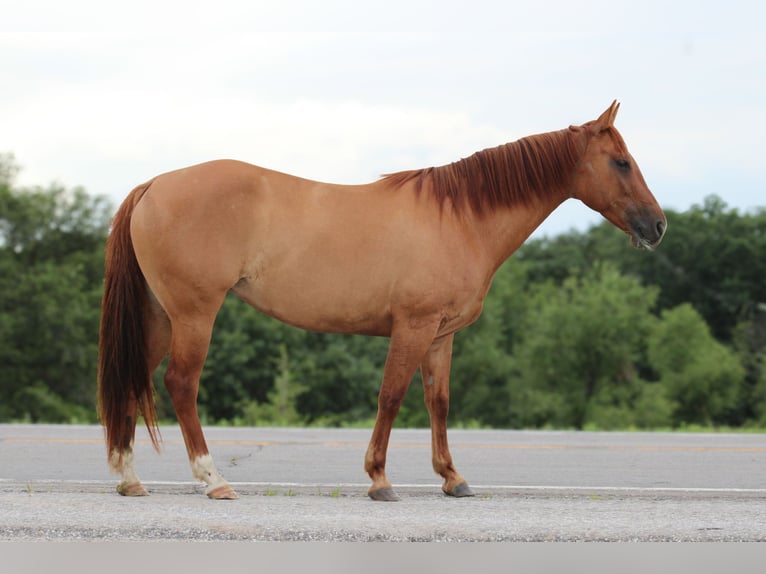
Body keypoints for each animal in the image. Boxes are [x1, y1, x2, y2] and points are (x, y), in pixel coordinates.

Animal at [98, 101, 665, 501]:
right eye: (621, 162)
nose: (658, 225)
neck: (460, 217)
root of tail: (153, 185)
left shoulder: (440, 335)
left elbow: (438, 402)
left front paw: (452, 478)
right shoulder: (413, 326)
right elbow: (391, 396)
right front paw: (378, 479)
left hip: (158, 316)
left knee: (134, 377)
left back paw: (129, 479)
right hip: (194, 314)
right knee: (181, 384)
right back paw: (213, 479)